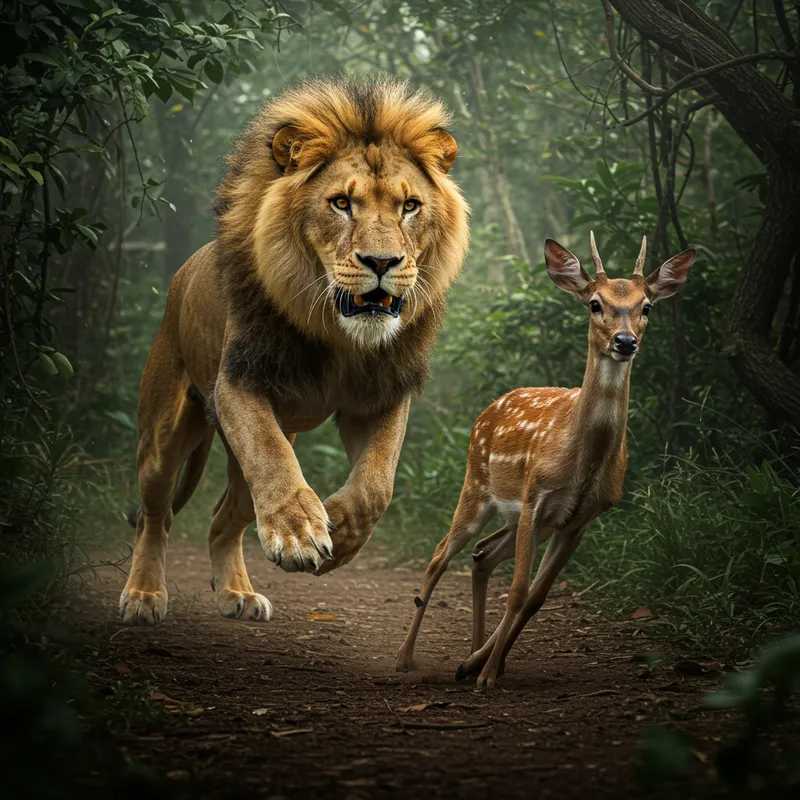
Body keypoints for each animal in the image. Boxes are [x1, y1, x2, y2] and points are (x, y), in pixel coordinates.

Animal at [119, 77, 470, 625]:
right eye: (341, 204)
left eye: (410, 206)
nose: (382, 262)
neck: (339, 337)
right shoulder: (237, 382)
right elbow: (270, 454)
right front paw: (299, 530)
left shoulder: (382, 396)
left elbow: (377, 484)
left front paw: (339, 535)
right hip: (163, 435)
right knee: (155, 514)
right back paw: (143, 595)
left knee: (224, 517)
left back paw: (237, 594)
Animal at [395, 232, 695, 688]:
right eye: (595, 303)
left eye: (646, 306)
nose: (625, 342)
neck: (583, 465)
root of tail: (486, 411)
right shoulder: (536, 496)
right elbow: (518, 591)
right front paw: (487, 676)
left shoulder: (579, 519)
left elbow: (536, 597)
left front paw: (484, 666)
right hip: (476, 488)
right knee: (441, 553)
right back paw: (405, 657)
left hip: (516, 519)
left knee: (481, 555)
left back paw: (470, 656)